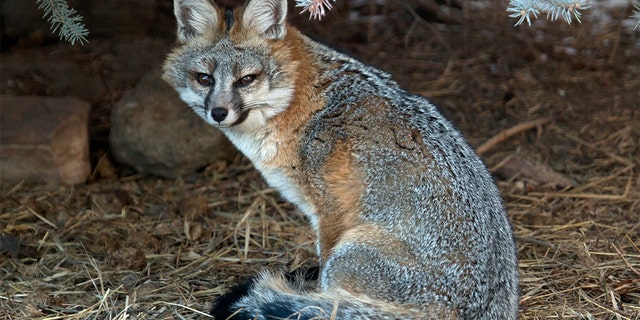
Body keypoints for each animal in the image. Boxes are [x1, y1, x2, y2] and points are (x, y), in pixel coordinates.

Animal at [161, 0, 520, 318]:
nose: (218, 113)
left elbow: (323, 285)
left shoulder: (329, 211)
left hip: (348, 250)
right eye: (204, 78)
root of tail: (461, 309)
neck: (302, 103)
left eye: (246, 79)